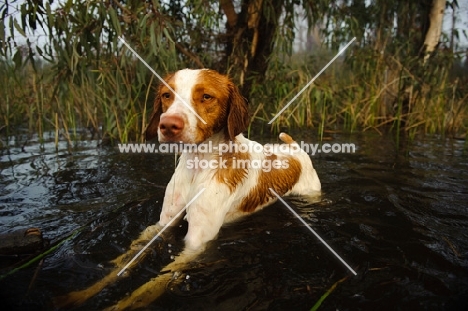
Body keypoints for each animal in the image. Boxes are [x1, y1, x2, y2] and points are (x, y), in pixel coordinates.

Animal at [54, 69, 318, 310]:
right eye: (166, 95)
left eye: (207, 97)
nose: (168, 125)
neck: (198, 166)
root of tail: (294, 148)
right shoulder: (163, 223)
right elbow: (126, 259)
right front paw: (83, 293)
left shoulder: (196, 242)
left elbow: (153, 284)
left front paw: (119, 305)